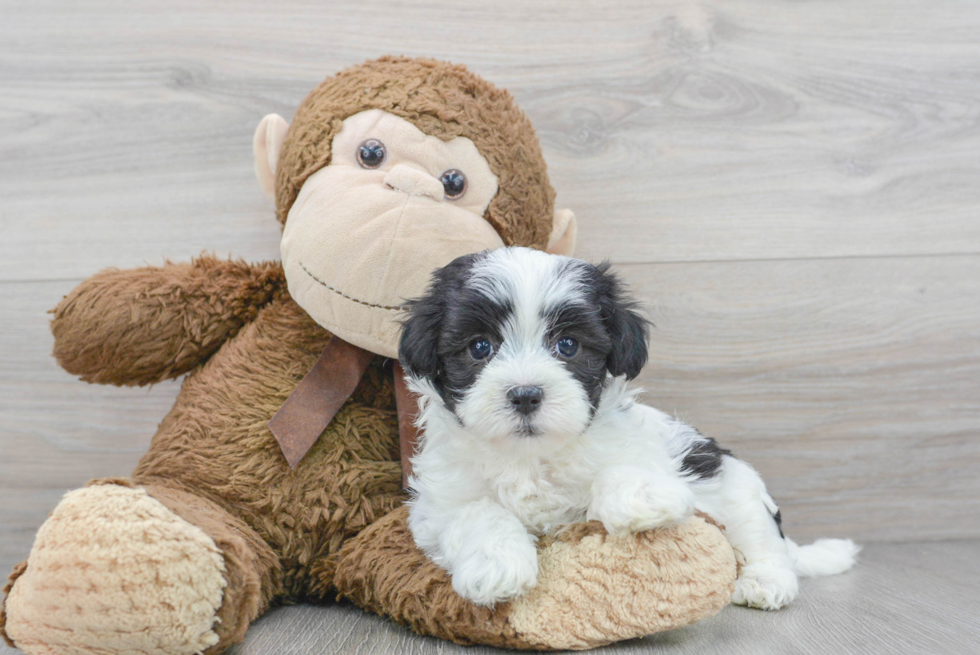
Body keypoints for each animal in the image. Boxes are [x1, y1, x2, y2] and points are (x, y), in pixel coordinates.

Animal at [398, 247, 856, 608]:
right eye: (480, 347)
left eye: (568, 345)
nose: (526, 394)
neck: (531, 457)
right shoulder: (439, 505)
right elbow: (476, 512)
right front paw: (498, 566)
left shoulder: (643, 450)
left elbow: (620, 469)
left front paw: (644, 500)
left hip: (734, 484)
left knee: (763, 540)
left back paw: (766, 582)